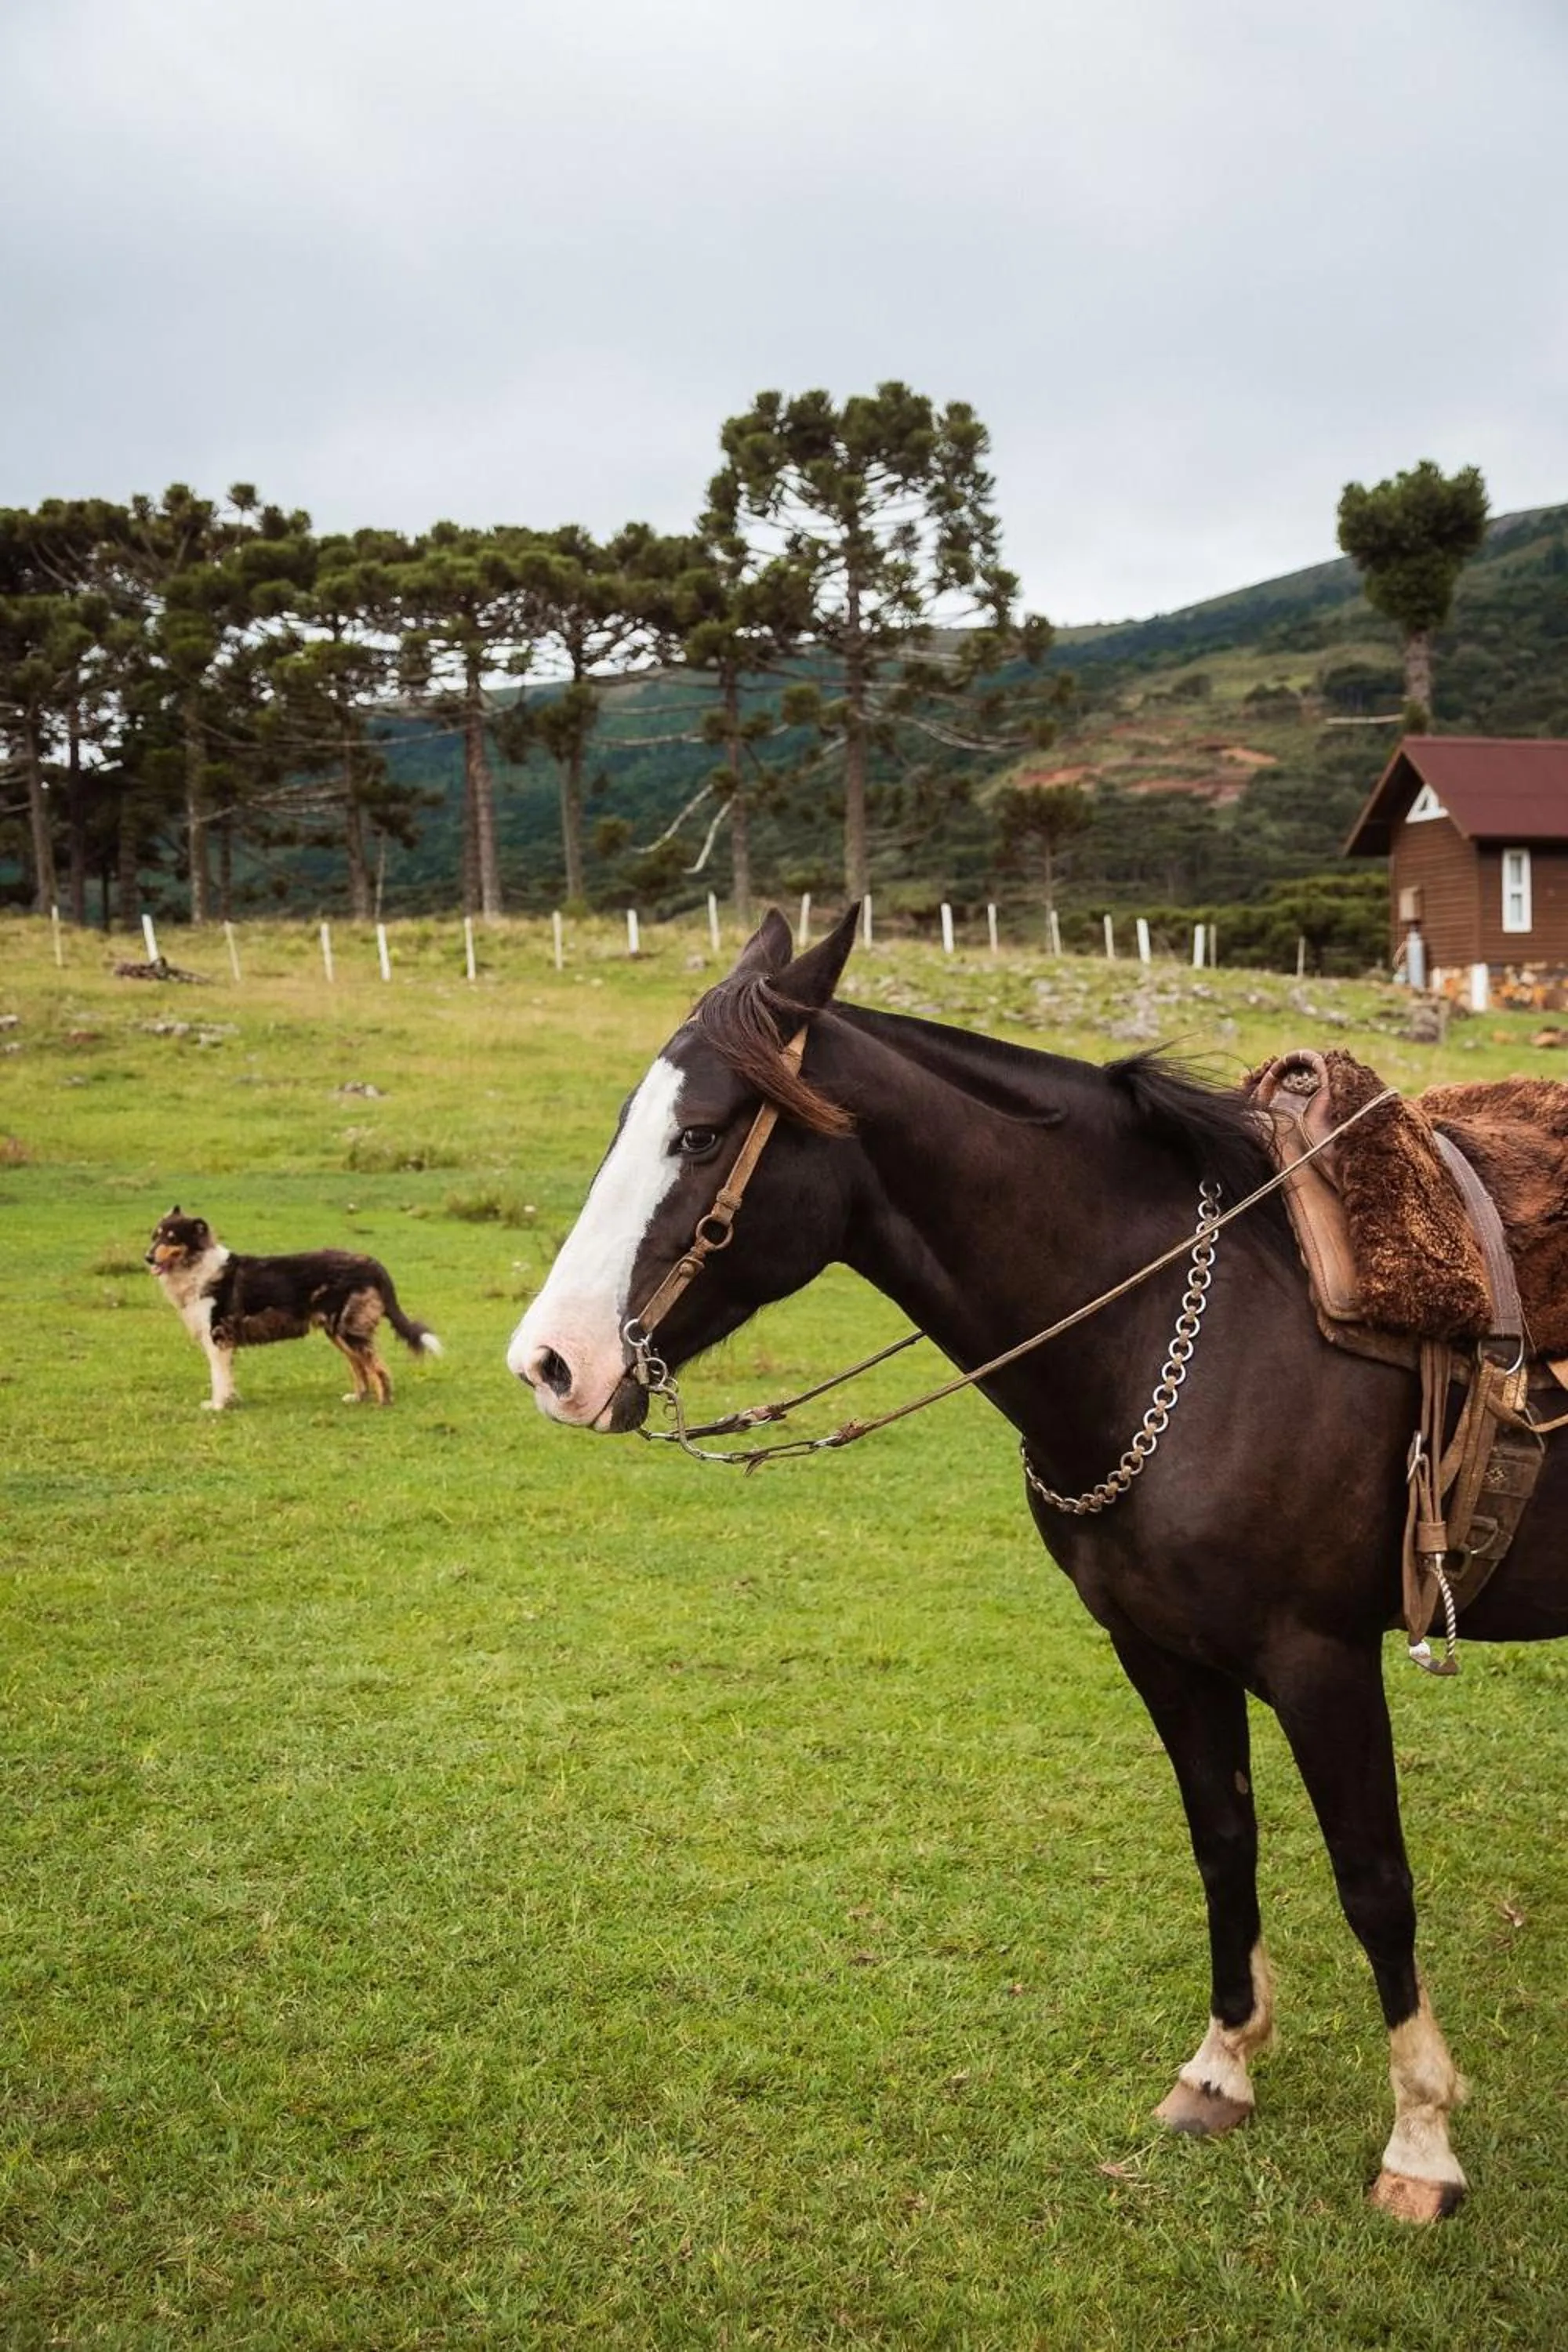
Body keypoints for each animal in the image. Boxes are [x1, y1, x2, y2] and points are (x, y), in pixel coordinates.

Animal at [508, 903, 1568, 2221]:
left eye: (700, 1134)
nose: (550, 1363)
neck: (1188, 1327)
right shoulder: (1160, 1651)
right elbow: (1223, 1842)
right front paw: (1220, 2069)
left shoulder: (1321, 1659)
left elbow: (1374, 1881)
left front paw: (1421, 2140)